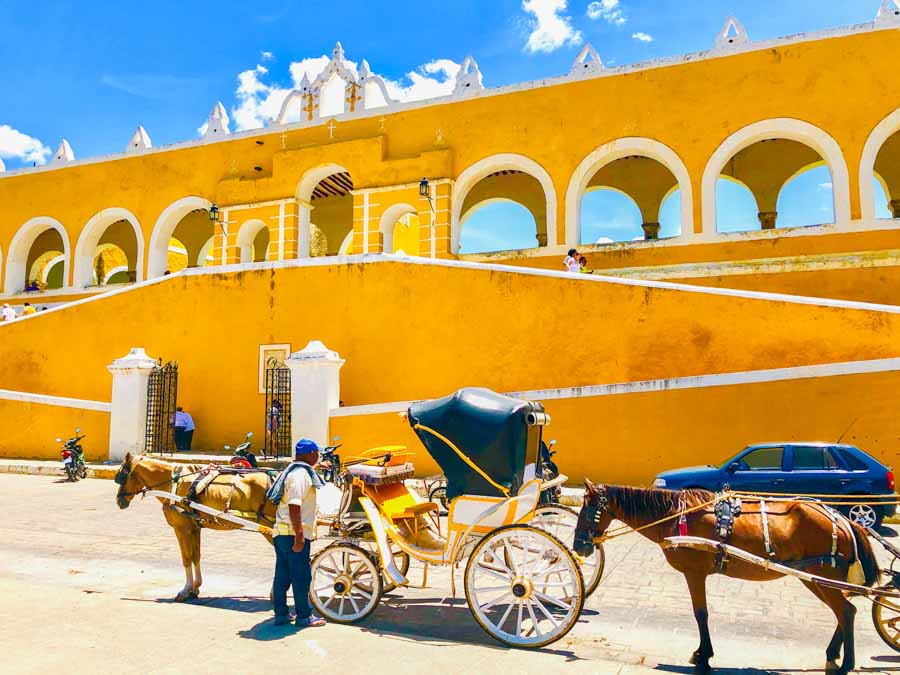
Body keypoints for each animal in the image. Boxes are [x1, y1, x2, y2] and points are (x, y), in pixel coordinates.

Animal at [114, 454, 274, 604]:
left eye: (122, 476)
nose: (119, 500)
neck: (172, 483)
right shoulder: (195, 528)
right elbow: (195, 556)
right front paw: (195, 588)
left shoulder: (181, 529)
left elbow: (186, 557)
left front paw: (186, 590)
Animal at [572, 480, 876, 675]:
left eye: (587, 510)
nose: (579, 546)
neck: (676, 516)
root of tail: (844, 519)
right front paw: (703, 653)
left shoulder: (695, 573)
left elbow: (701, 614)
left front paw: (703, 655)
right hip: (814, 577)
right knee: (844, 611)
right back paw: (833, 655)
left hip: (820, 575)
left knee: (845, 612)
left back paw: (846, 663)